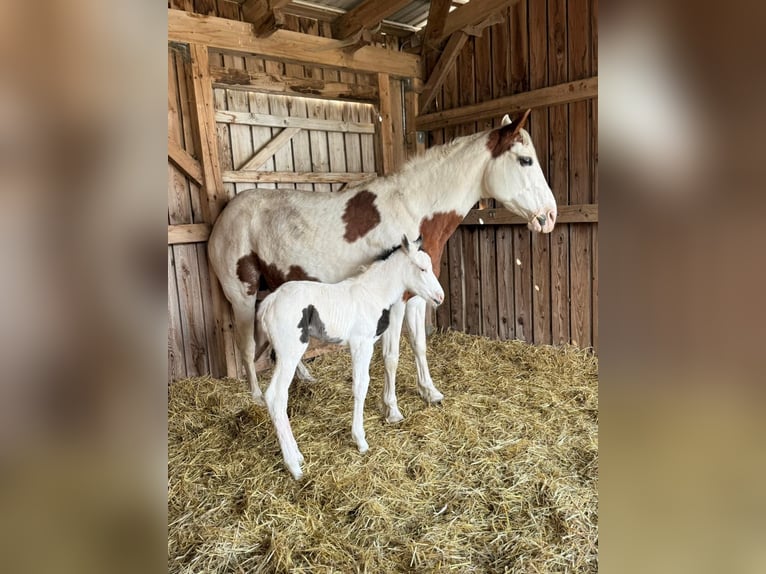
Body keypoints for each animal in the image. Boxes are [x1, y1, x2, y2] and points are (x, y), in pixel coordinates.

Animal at [208, 109, 556, 423]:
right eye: (525, 160)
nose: (549, 216)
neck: (412, 208)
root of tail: (225, 214)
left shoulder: (417, 297)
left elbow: (419, 345)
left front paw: (430, 392)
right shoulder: (395, 302)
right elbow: (391, 356)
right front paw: (392, 409)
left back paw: (304, 377)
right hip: (242, 296)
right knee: (247, 345)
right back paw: (255, 396)